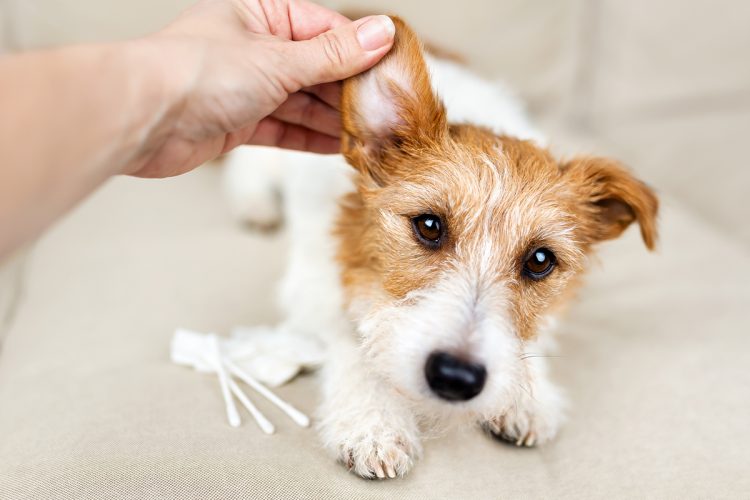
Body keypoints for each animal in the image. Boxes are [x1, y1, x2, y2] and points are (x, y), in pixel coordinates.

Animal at [223, 17, 656, 478]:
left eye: (540, 260)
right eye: (429, 226)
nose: (455, 377)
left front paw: (529, 398)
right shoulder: (313, 285)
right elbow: (352, 343)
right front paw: (374, 421)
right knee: (245, 167)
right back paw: (256, 205)